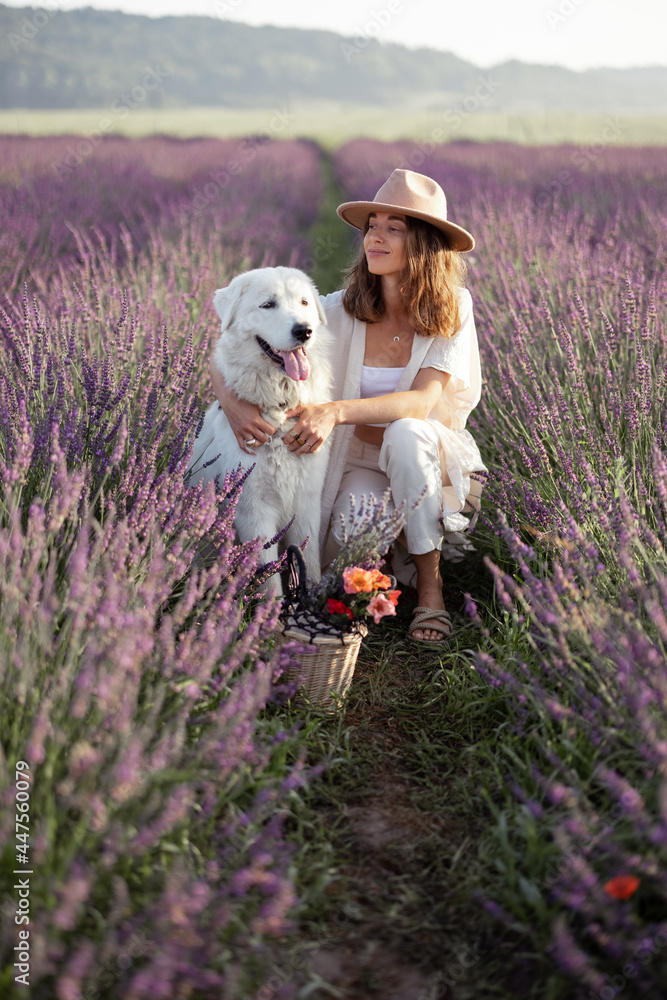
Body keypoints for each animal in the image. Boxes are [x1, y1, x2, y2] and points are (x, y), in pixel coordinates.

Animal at [187, 268, 332, 584]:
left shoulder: (307, 506)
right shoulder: (254, 513)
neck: (279, 411)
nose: (304, 331)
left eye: (304, 302)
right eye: (268, 305)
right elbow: (268, 580)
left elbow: (311, 565)